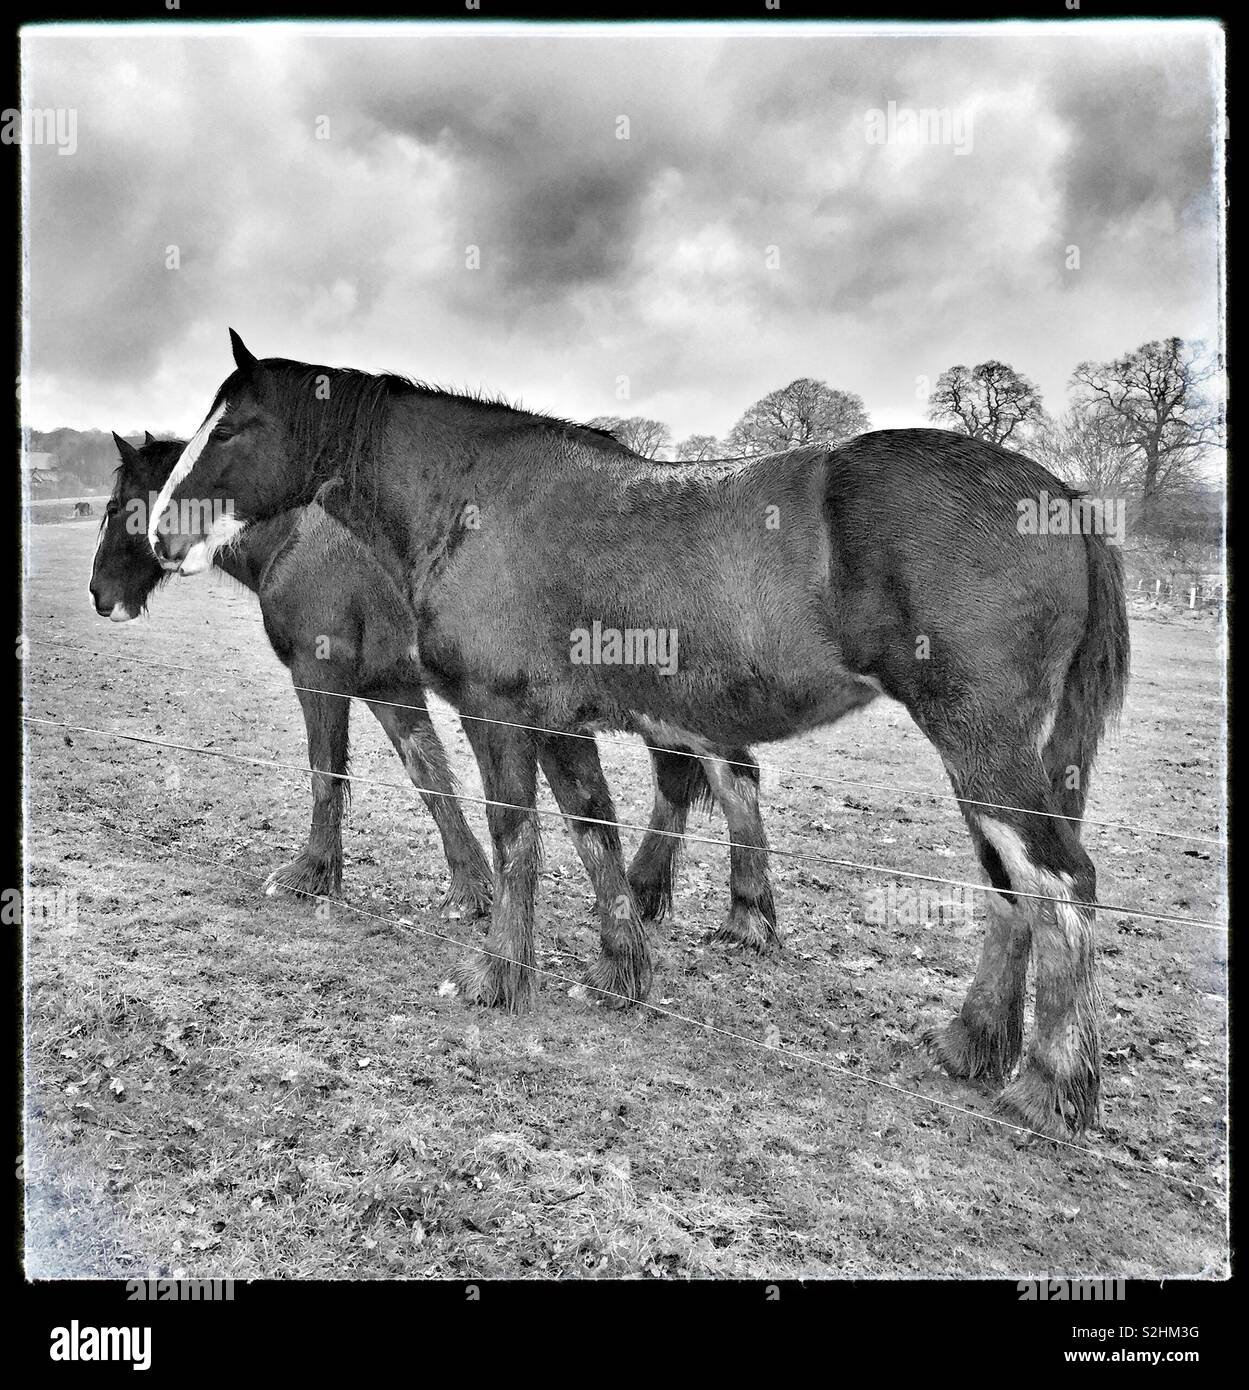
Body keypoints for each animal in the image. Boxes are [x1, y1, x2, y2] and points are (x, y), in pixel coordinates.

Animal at [90, 432, 493, 915]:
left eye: (116, 507)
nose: (98, 593)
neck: (291, 541)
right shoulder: (390, 688)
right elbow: (429, 775)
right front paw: (470, 890)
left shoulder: (316, 676)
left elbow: (325, 772)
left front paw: (309, 874)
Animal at [150, 331, 1129, 1138]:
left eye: (236, 426)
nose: (160, 531)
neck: (473, 500)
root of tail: (1061, 499)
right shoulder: (557, 724)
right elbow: (594, 834)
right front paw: (622, 967)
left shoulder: (496, 712)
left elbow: (516, 837)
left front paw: (500, 974)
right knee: (1012, 886)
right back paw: (974, 1041)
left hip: (980, 743)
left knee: (1058, 882)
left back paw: (1049, 1084)